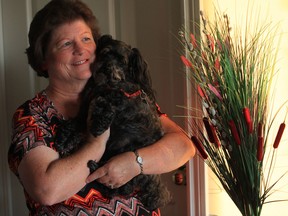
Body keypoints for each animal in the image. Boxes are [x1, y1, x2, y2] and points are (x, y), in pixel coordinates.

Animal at [54, 34, 171, 210]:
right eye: (105, 53)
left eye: (122, 61)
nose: (107, 68)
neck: (105, 84)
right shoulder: (84, 111)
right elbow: (74, 123)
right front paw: (64, 138)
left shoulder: (120, 97)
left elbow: (104, 103)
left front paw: (97, 126)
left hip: (128, 155)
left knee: (120, 189)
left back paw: (95, 167)